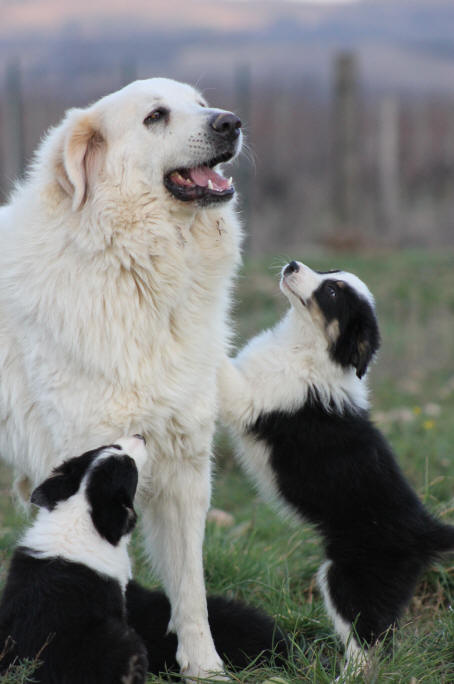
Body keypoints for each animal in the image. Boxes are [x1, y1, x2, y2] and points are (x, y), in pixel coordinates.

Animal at [0, 79, 241, 680]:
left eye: (200, 103)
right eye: (155, 117)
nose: (230, 122)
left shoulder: (184, 465)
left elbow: (190, 589)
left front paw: (204, 668)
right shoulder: (87, 453)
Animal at [219, 260, 454, 668]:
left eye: (331, 292)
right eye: (329, 273)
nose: (292, 264)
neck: (304, 346)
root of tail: (425, 529)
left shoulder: (249, 397)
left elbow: (215, 364)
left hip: (349, 579)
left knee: (365, 647)